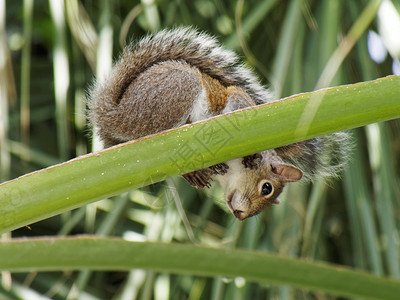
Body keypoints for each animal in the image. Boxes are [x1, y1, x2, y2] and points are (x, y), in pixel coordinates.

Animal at [87, 27, 350, 220]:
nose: (240, 215)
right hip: (177, 90)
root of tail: (113, 114)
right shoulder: (237, 102)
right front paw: (253, 156)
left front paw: (198, 175)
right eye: (267, 188)